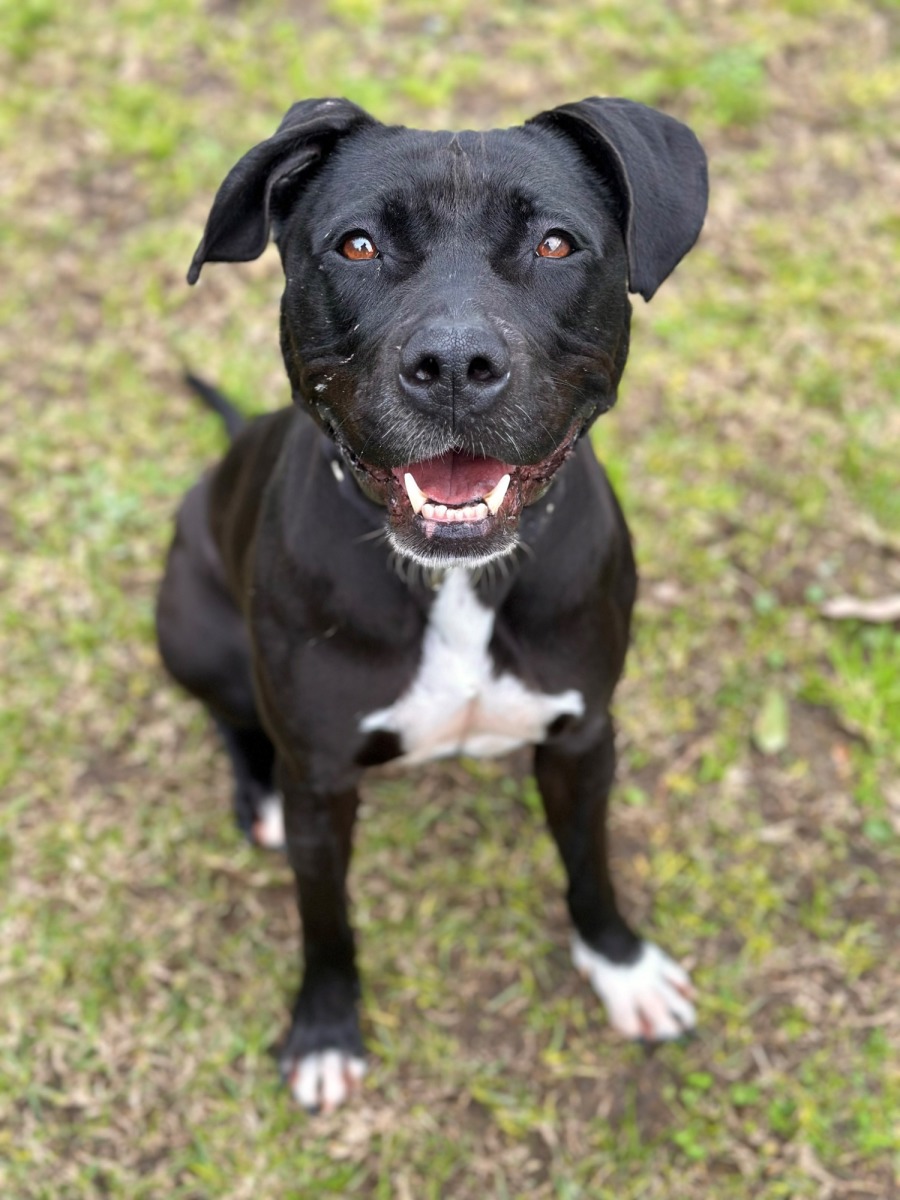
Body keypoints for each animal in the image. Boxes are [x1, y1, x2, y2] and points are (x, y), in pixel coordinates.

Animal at [156, 96, 708, 1113]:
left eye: (556, 243)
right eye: (358, 245)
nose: (455, 362)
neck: (453, 581)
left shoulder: (584, 738)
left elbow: (590, 865)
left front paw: (621, 966)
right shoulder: (323, 782)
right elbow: (324, 919)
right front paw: (325, 1030)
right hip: (190, 624)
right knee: (230, 716)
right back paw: (256, 791)